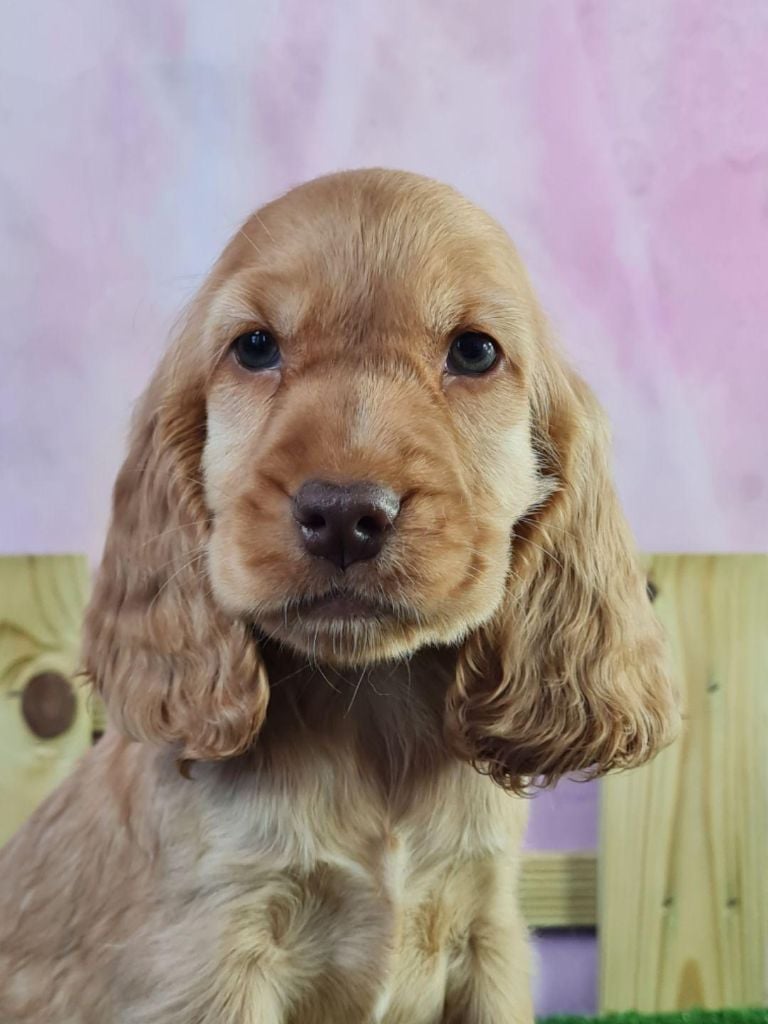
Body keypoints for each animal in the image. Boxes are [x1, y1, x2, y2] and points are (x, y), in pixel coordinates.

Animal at [0, 169, 679, 1023]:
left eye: (474, 351)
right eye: (255, 346)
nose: (345, 515)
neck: (373, 708)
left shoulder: (490, 934)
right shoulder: (214, 956)